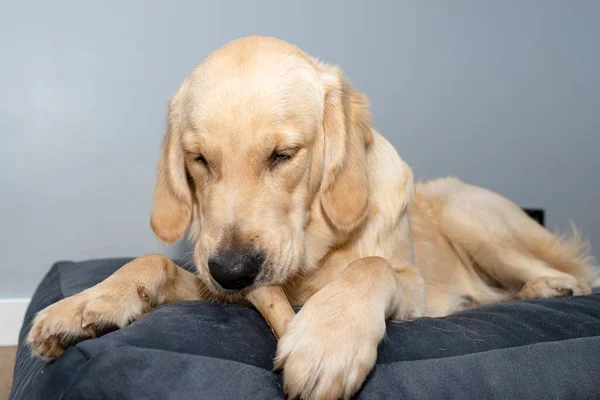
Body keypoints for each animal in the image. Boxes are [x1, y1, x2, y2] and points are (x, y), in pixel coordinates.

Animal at [25, 36, 592, 398]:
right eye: (199, 159)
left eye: (283, 155)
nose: (234, 271)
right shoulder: (218, 289)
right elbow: (153, 262)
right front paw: (88, 302)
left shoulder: (411, 284)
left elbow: (370, 266)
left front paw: (328, 335)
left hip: (469, 215)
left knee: (577, 274)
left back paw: (550, 286)